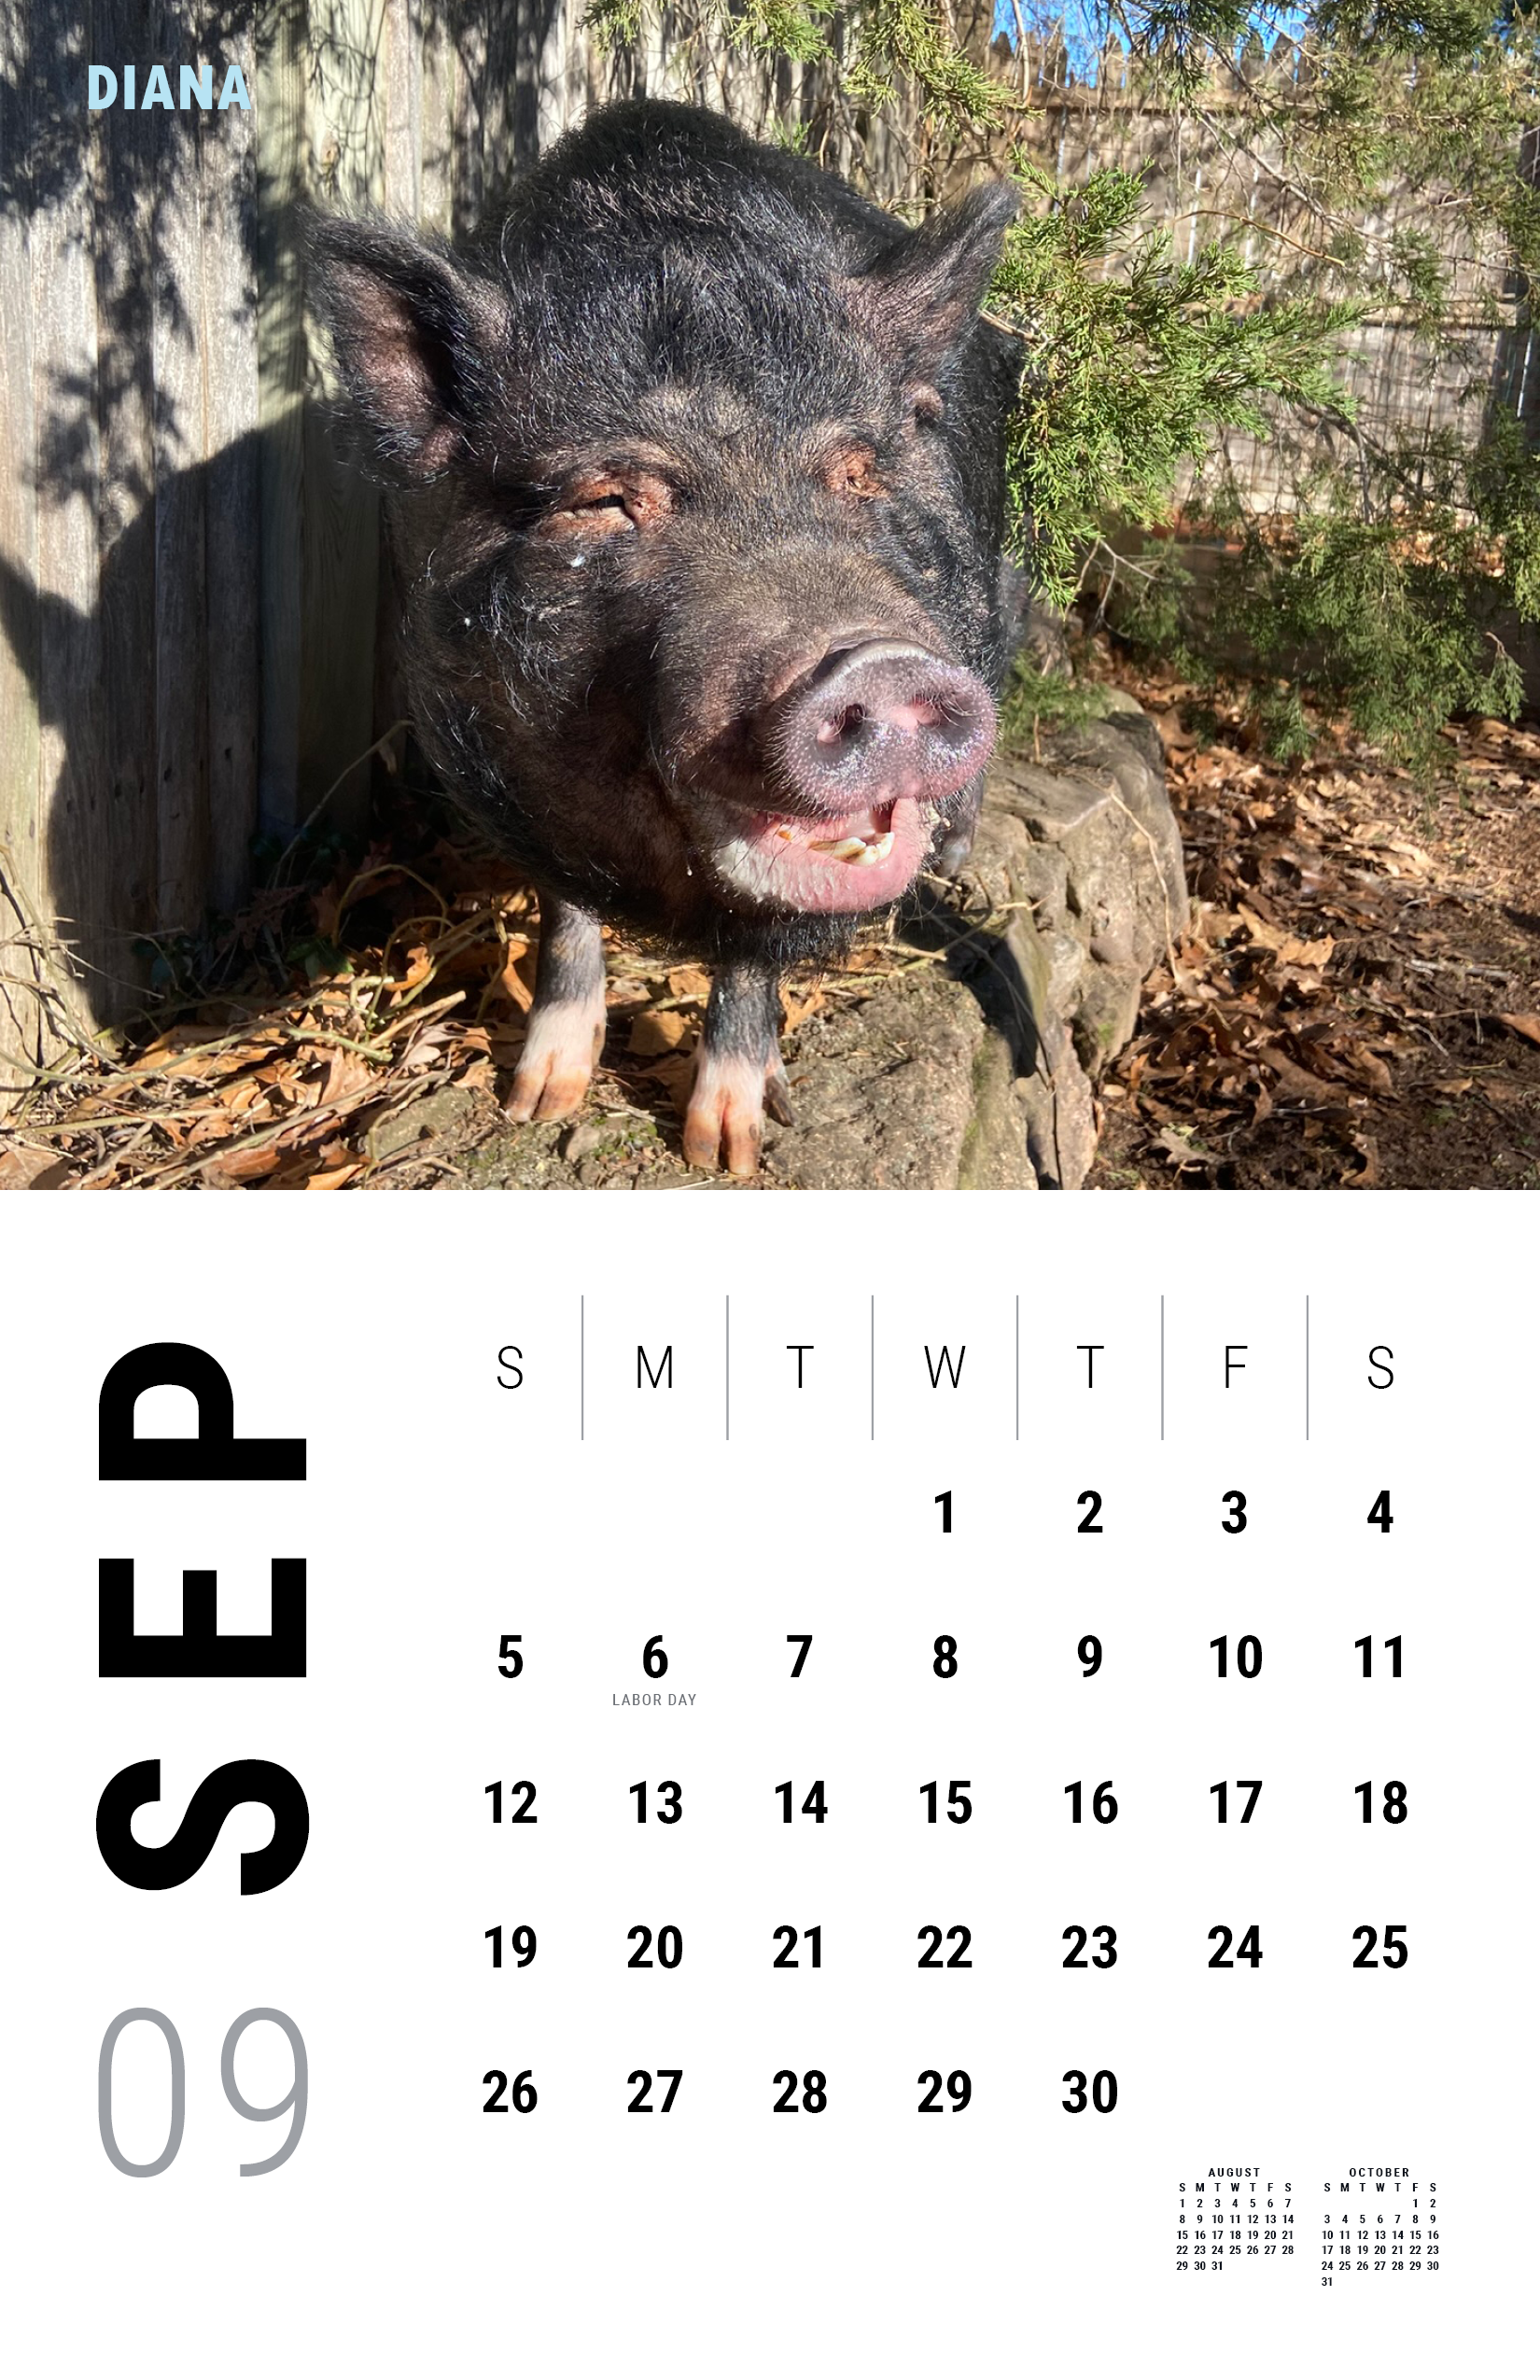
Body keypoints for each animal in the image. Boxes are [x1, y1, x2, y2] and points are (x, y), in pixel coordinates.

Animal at [310, 99, 1023, 1174]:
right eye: (607, 500)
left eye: (861, 473)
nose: (880, 663)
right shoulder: (496, 765)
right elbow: (563, 911)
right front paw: (537, 1105)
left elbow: (754, 950)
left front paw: (725, 1152)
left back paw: (955, 860)